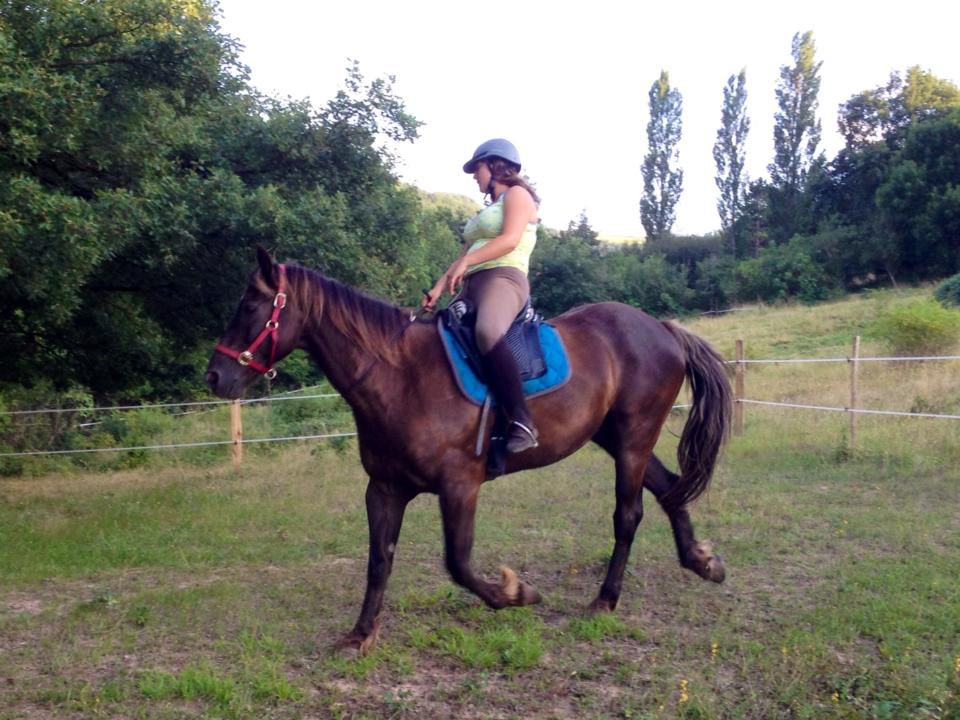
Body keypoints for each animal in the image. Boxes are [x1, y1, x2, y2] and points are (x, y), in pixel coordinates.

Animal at [206, 247, 732, 655]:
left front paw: (516, 593)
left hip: (633, 438)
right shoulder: (384, 488)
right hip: (615, 438)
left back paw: (606, 599)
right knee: (669, 489)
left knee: (628, 515)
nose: (215, 376)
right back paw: (702, 562)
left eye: (250, 306)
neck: (400, 376)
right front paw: (360, 635)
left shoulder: (459, 486)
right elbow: (379, 561)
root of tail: (661, 328)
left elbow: (458, 563)